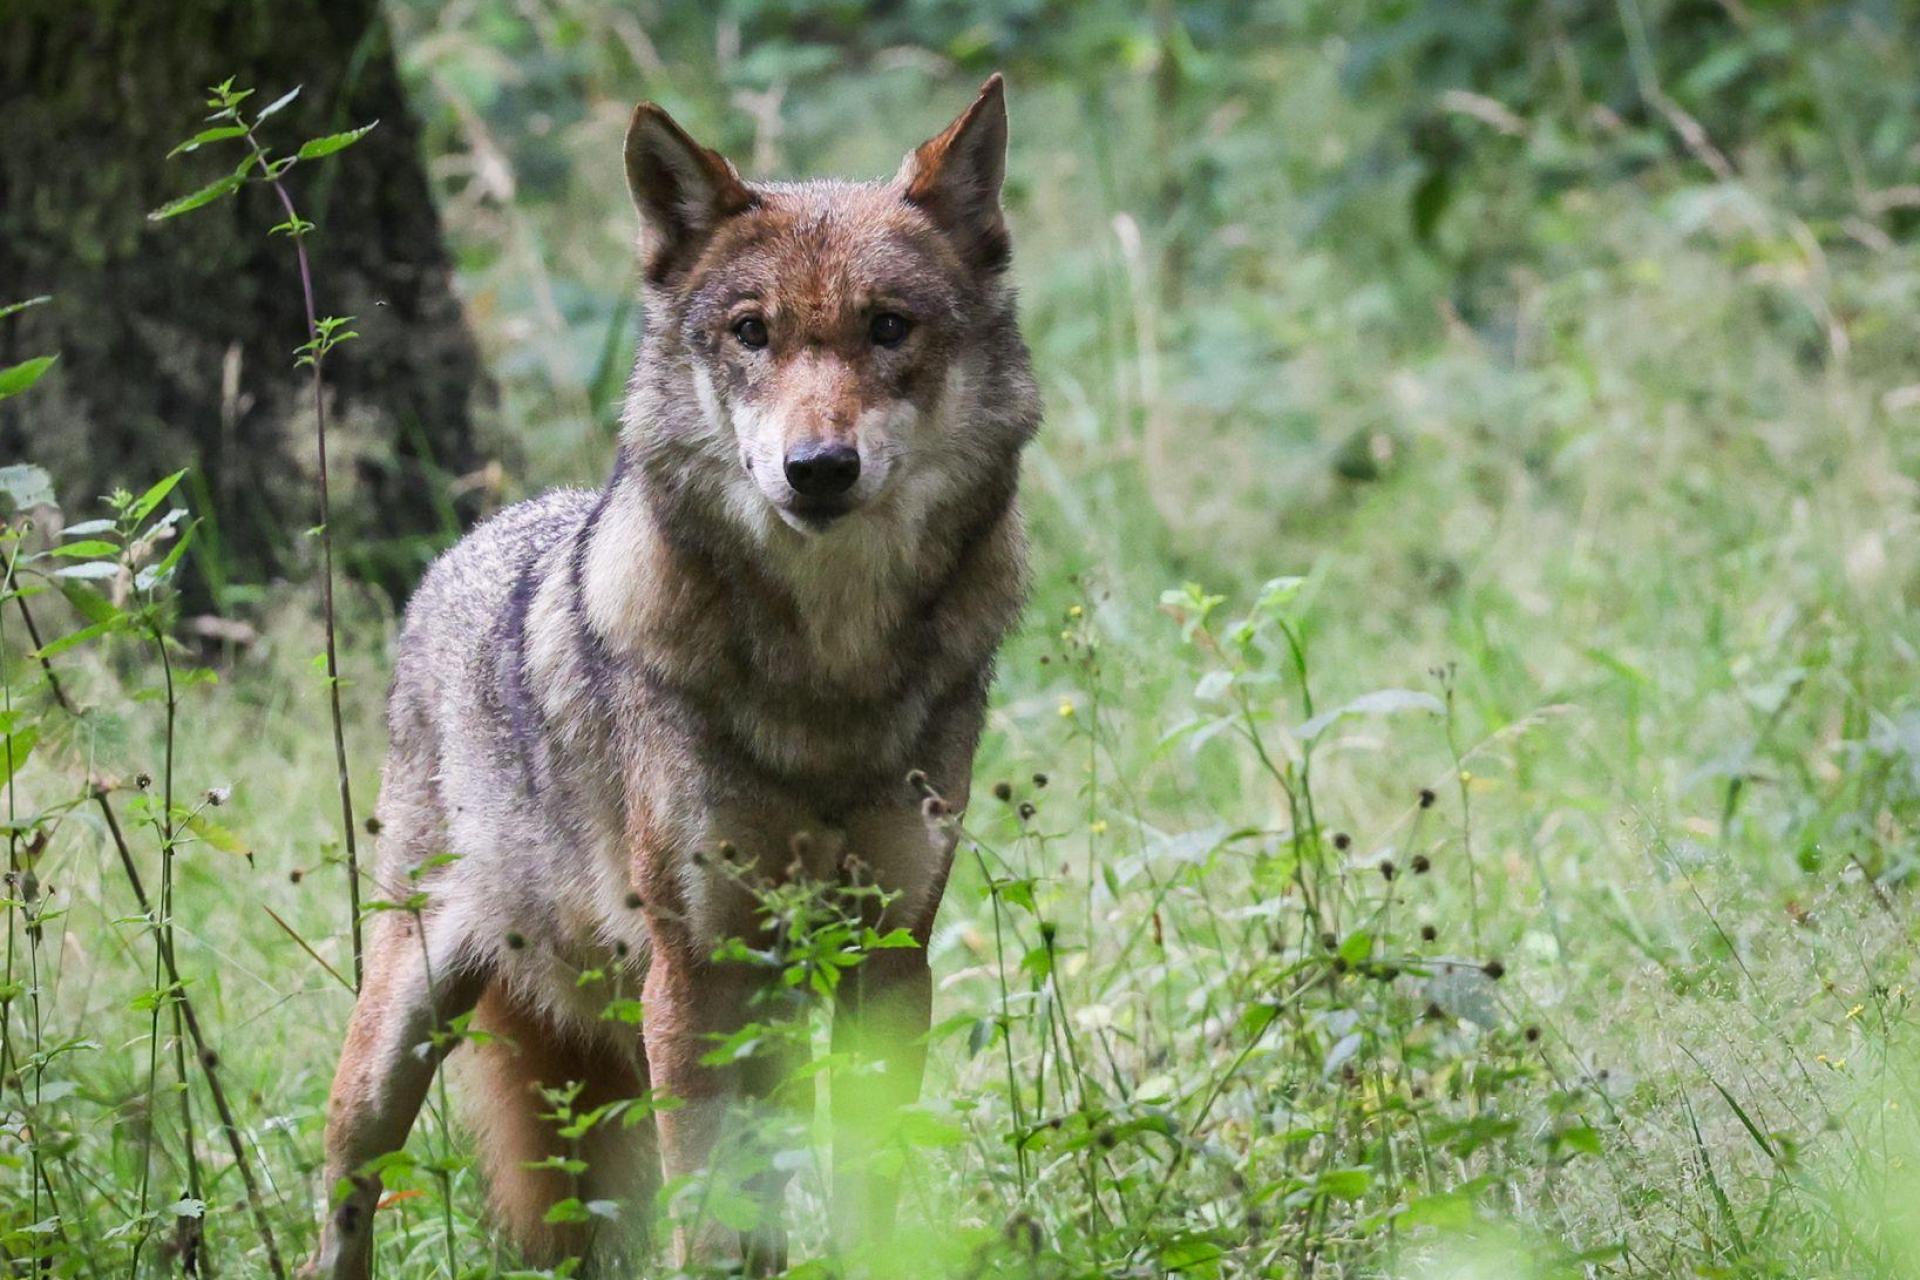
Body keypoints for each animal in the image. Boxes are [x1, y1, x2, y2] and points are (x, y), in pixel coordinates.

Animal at [305, 75, 1039, 1278]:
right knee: (345, 1190)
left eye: (889, 327)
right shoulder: (695, 977)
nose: (817, 468)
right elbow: (709, 1216)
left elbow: (868, 1191)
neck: (828, 674)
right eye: (751, 333)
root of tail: (463, 549)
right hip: (401, 1036)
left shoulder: (889, 959)